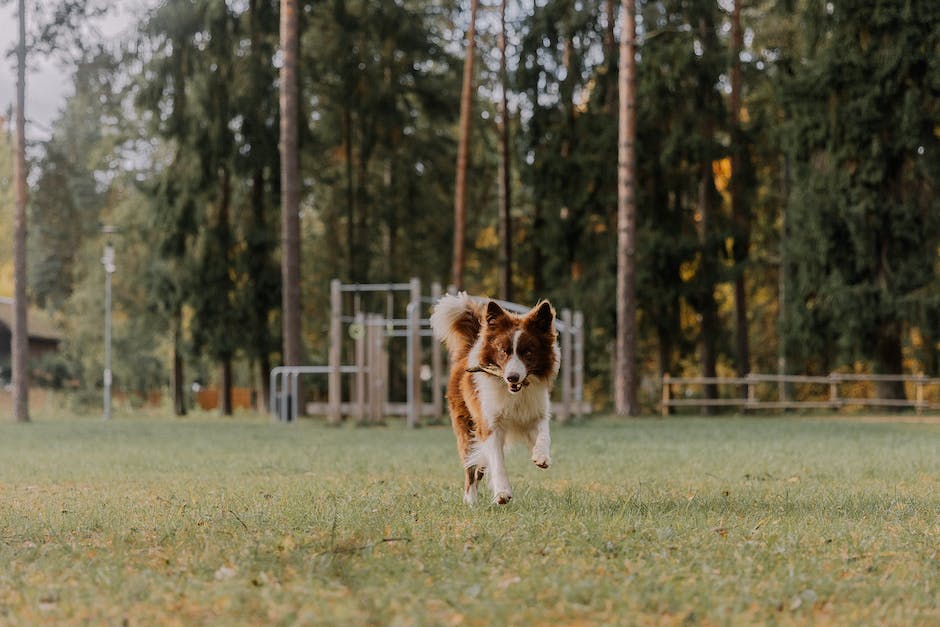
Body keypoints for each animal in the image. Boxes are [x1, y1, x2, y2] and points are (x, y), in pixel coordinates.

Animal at [432, 294, 560, 506]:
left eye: (528, 352)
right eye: (503, 351)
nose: (512, 377)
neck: (514, 393)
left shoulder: (536, 412)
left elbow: (544, 433)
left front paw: (541, 455)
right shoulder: (489, 424)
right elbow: (497, 461)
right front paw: (502, 493)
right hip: (466, 429)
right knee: (471, 469)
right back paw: (470, 501)